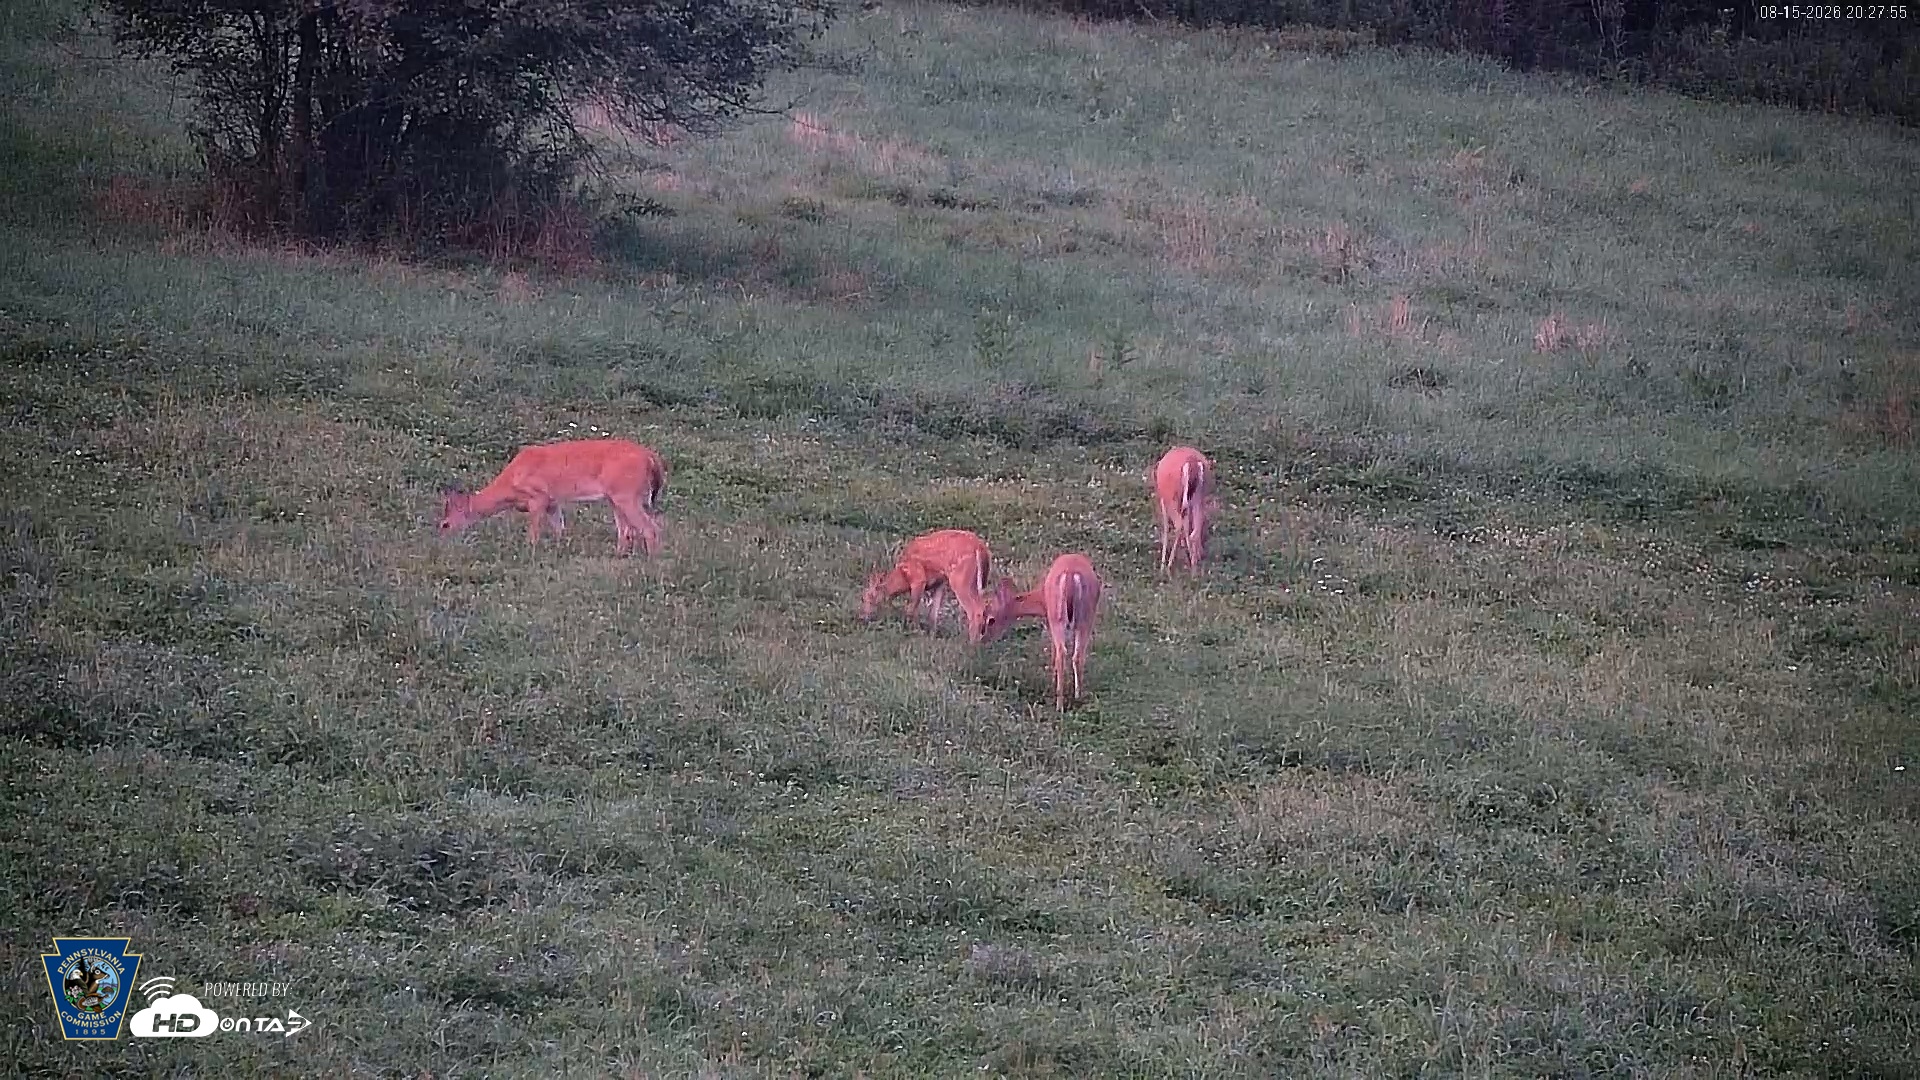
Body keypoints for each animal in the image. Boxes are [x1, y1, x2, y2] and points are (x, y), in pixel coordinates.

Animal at [438, 438, 667, 556]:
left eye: (445, 525)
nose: (440, 544)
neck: (510, 484)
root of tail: (651, 457)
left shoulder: (538, 497)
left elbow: (534, 532)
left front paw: (529, 551)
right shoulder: (552, 503)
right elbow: (559, 530)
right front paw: (560, 551)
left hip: (626, 494)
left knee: (650, 528)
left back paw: (652, 561)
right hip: (616, 497)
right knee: (626, 531)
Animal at [859, 528, 1005, 642]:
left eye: (868, 598)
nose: (862, 617)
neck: (903, 575)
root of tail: (980, 548)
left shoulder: (919, 579)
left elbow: (911, 609)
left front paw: (914, 632)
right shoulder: (940, 582)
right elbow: (933, 614)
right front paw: (932, 635)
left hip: (960, 579)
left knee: (976, 610)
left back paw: (971, 644)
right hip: (974, 582)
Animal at [981, 553, 1103, 711]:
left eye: (991, 620)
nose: (983, 638)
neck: (1041, 598)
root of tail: (1071, 575)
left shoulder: (1049, 619)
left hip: (1062, 617)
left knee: (1064, 653)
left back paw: (1060, 703)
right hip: (1082, 617)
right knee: (1075, 655)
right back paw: (1075, 698)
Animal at [1152, 445, 1214, 575]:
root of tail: (1192, 462)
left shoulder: (1164, 500)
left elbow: (1167, 526)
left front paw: (1163, 563)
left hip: (1173, 496)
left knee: (1178, 524)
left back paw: (1168, 565)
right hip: (1199, 496)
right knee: (1194, 530)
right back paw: (1194, 567)